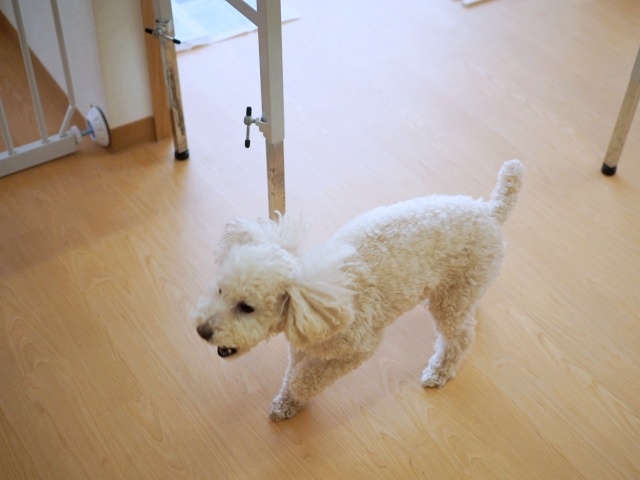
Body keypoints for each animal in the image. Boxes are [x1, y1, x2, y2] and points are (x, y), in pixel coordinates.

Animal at [192, 159, 524, 421]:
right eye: (220, 291)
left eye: (247, 307)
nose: (202, 331)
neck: (309, 305)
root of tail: (490, 210)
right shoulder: (301, 349)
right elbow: (293, 374)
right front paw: (286, 403)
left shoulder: (360, 348)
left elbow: (307, 378)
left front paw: (296, 395)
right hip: (461, 288)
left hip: (450, 302)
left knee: (460, 338)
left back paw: (440, 370)